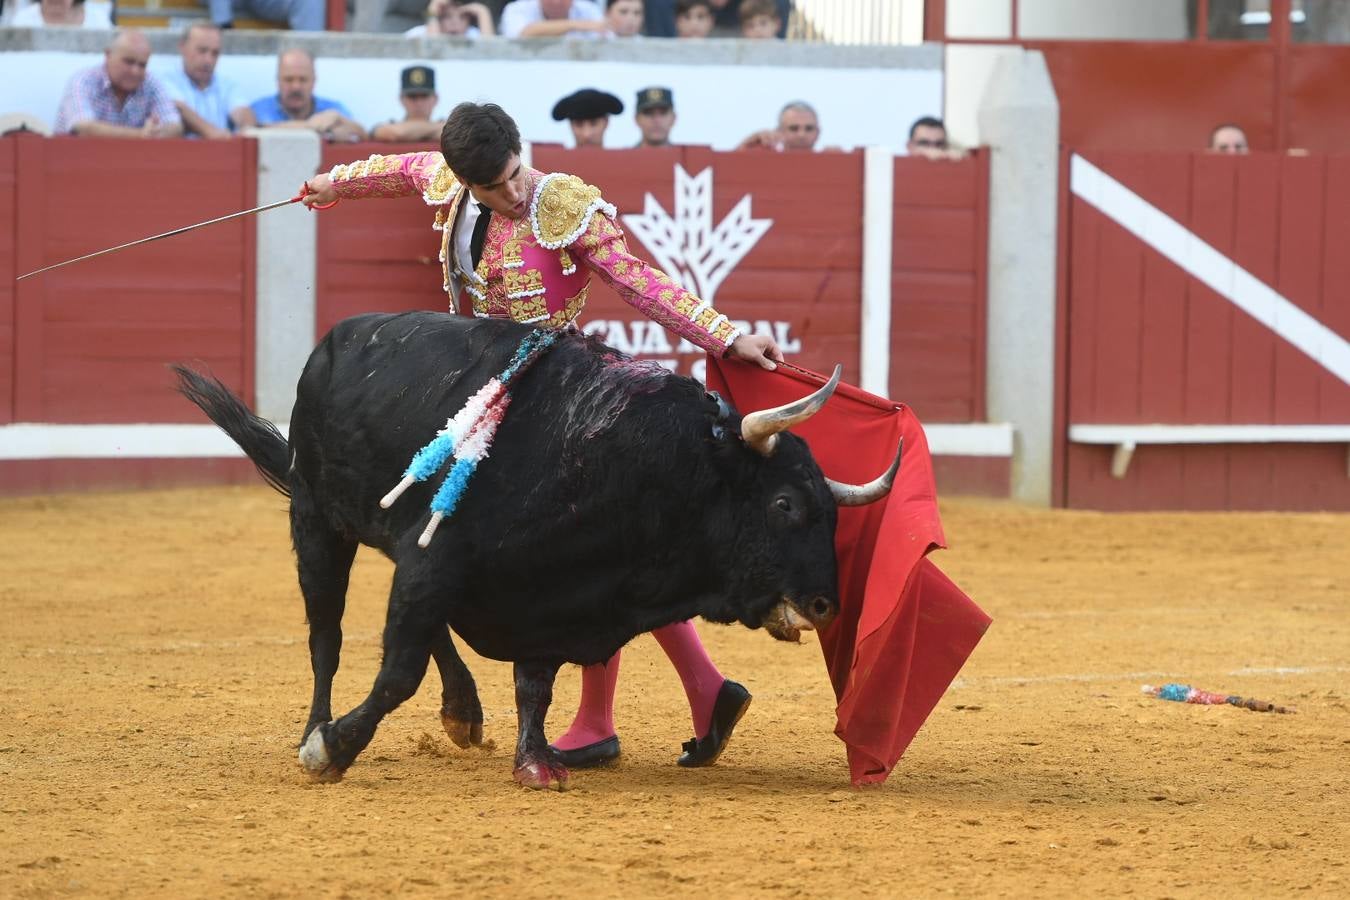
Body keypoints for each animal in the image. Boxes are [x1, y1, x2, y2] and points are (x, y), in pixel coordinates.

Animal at [174, 313, 901, 793]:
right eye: (784, 504)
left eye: (831, 511)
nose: (826, 604)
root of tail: (341, 337)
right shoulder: (439, 560)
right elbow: (398, 672)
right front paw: (335, 749)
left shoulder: (551, 593)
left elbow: (535, 685)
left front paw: (535, 761)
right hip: (317, 519)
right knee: (325, 638)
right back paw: (317, 729)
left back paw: (463, 713)